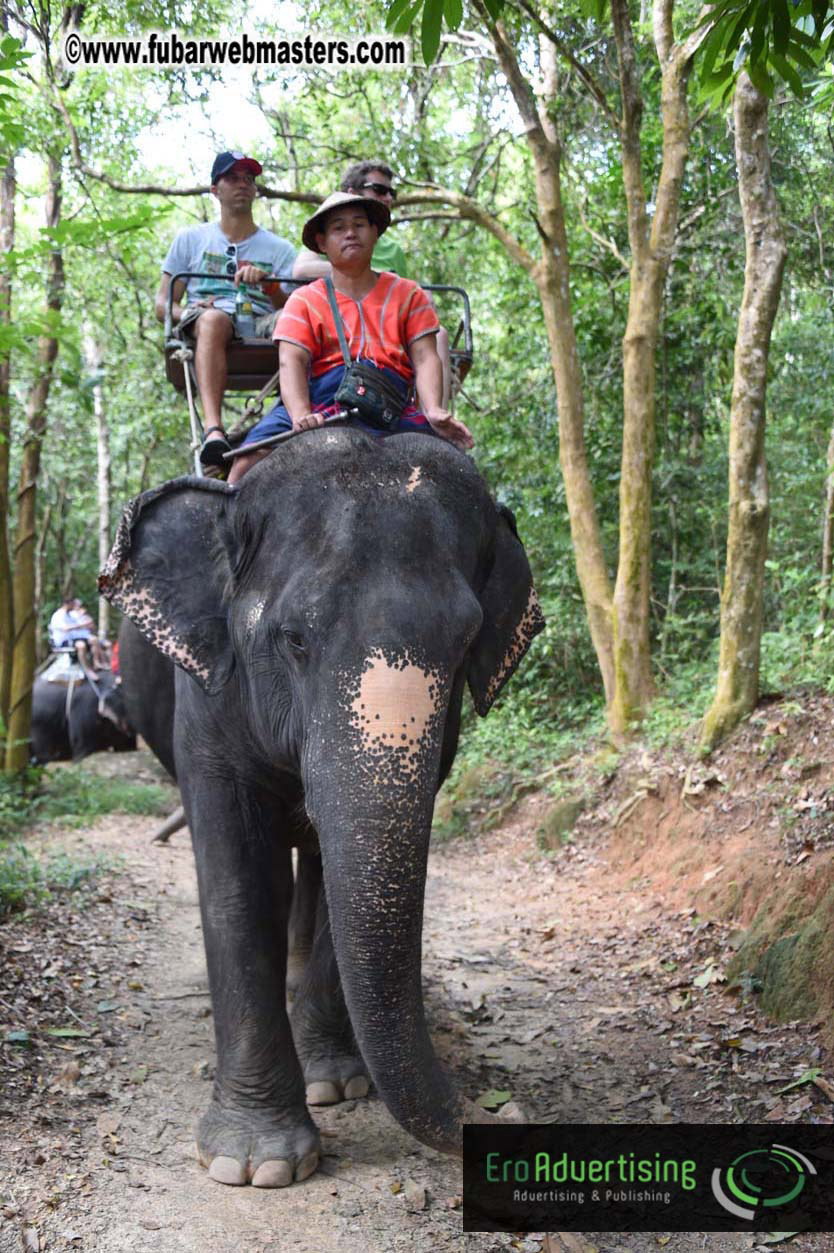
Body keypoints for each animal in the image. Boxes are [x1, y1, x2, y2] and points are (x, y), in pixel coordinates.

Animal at [99, 427, 544, 1189]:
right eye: (294, 638)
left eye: (465, 645)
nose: (504, 1112)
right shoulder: (206, 702)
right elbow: (240, 881)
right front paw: (256, 1164)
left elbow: (351, 876)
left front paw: (335, 1082)